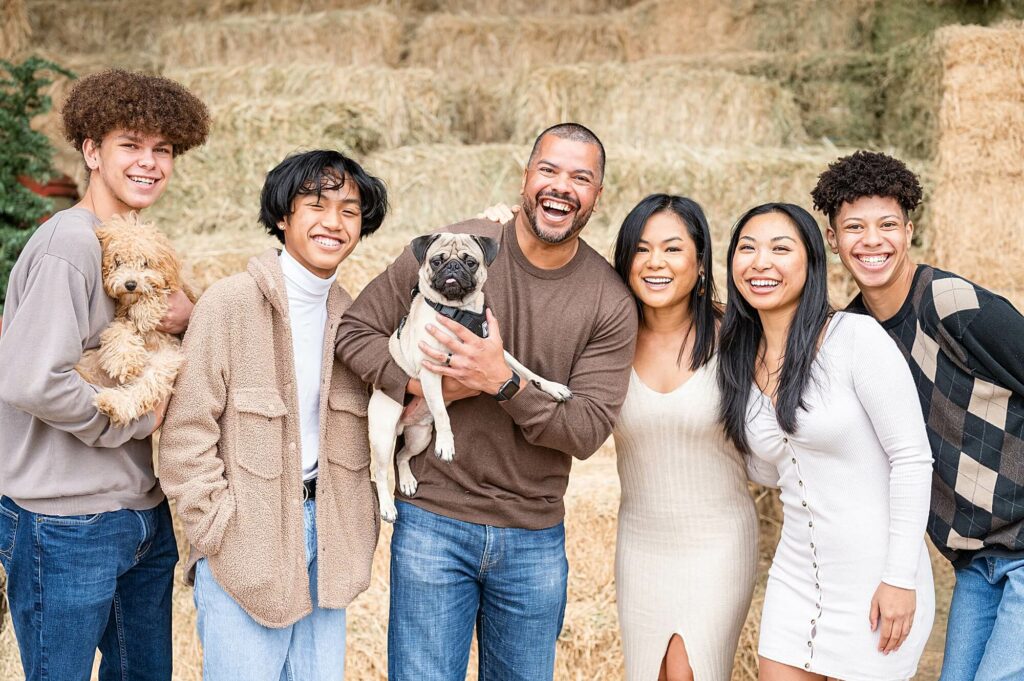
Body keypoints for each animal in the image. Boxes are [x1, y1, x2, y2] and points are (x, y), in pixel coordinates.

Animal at [74, 213, 195, 426]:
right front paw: (125, 362)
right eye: (118, 262)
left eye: (145, 262)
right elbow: (118, 332)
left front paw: (145, 312)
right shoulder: (121, 319)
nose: (130, 284)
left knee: (141, 391)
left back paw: (112, 404)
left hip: (163, 364)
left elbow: (159, 293)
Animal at [370, 231, 577, 522]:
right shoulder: (431, 369)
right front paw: (447, 444)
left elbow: (524, 370)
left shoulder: (496, 352)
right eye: (437, 261)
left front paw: (551, 386)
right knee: (379, 471)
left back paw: (408, 480)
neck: (458, 312)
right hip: (384, 434)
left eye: (470, 262)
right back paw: (388, 507)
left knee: (401, 456)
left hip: (420, 436)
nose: (453, 267)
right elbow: (442, 414)